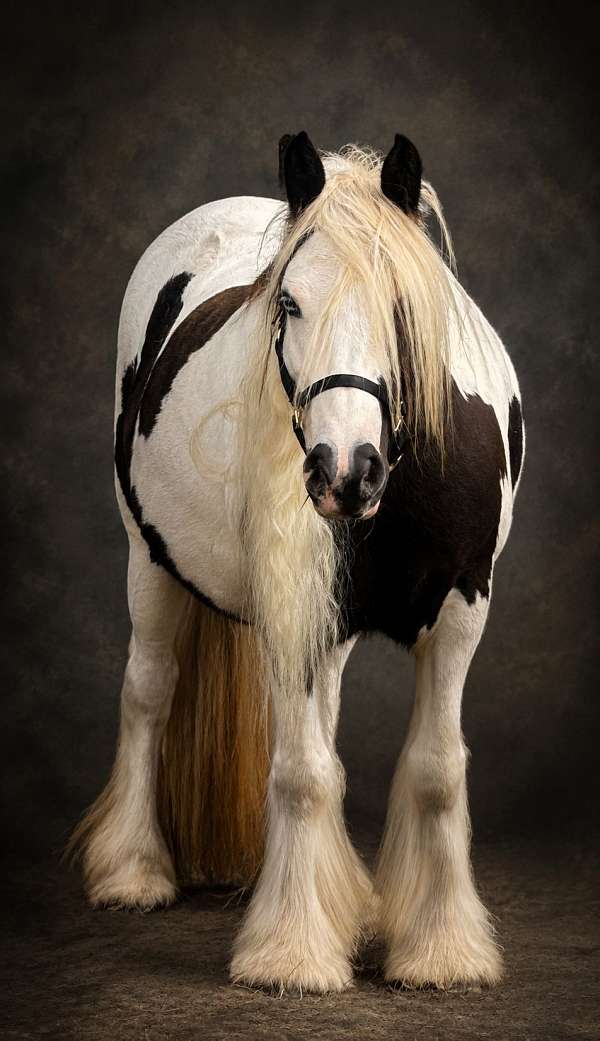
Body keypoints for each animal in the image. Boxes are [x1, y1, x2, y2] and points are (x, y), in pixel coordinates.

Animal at [70, 131, 525, 994]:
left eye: (401, 306)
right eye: (288, 304)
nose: (345, 470)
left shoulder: (464, 609)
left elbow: (436, 771)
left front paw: (441, 950)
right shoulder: (302, 614)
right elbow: (303, 772)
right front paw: (293, 950)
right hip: (148, 561)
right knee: (148, 692)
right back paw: (133, 870)